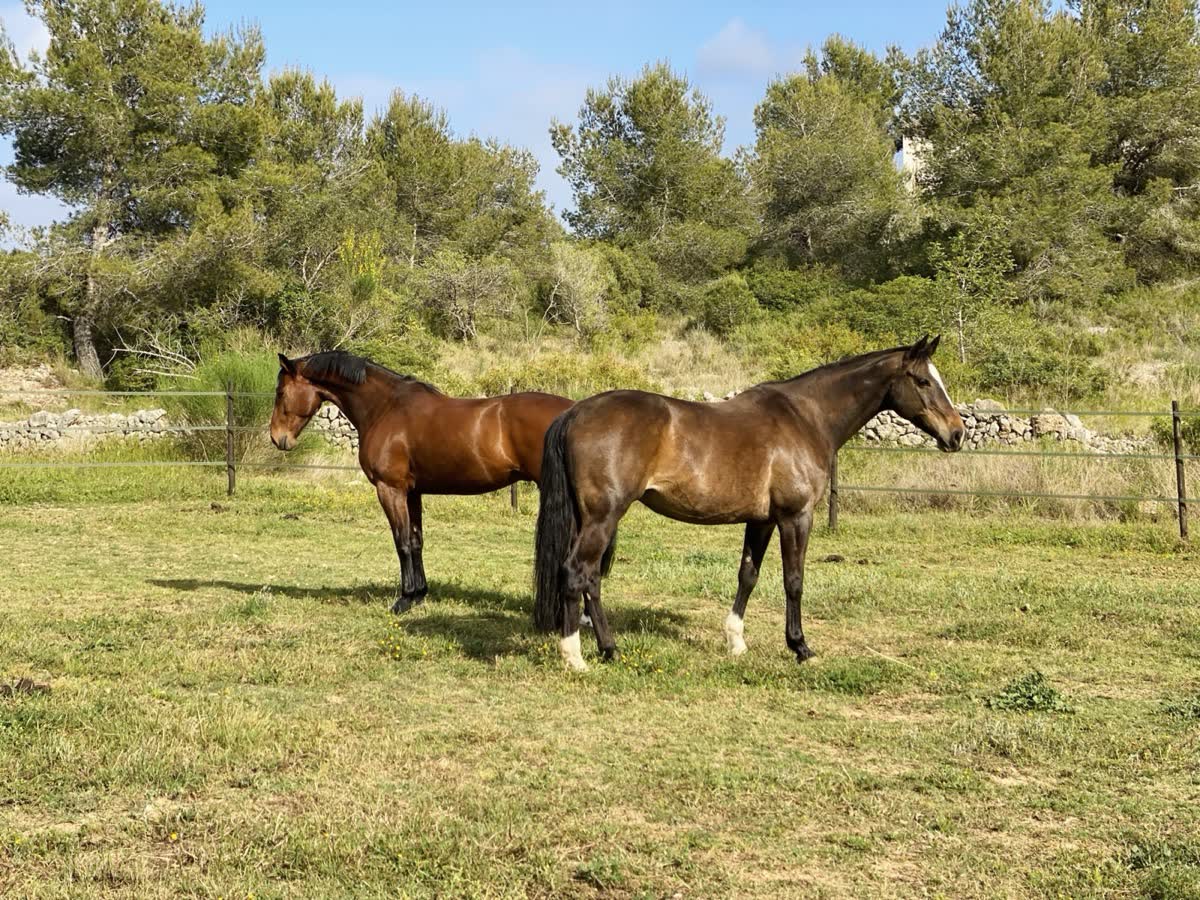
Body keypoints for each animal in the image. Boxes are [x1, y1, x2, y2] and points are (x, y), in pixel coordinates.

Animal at [270, 350, 612, 614]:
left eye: (280, 392)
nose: (277, 439)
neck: (385, 408)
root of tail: (575, 413)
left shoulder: (390, 490)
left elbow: (402, 541)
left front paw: (404, 600)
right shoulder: (412, 492)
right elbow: (416, 541)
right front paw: (419, 594)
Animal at [532, 336, 965, 671]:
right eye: (923, 380)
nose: (957, 434)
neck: (806, 418)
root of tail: (575, 411)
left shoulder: (762, 520)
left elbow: (748, 576)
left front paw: (736, 641)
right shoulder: (796, 516)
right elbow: (794, 581)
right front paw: (801, 647)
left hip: (593, 519)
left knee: (591, 578)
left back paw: (609, 649)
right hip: (603, 517)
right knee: (576, 572)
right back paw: (575, 656)